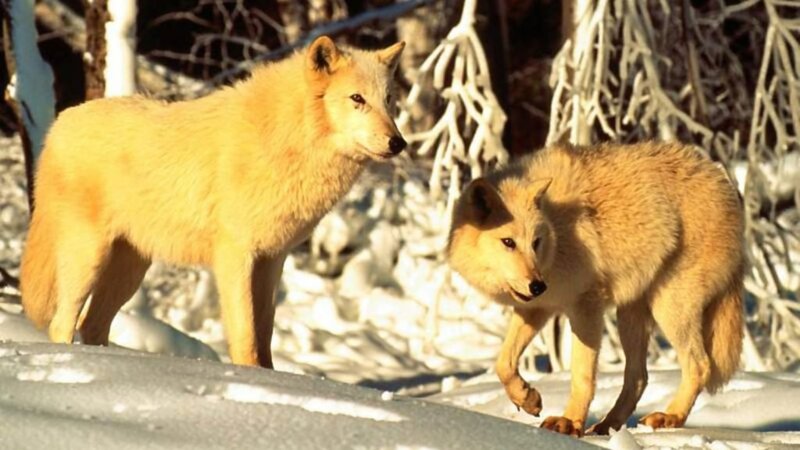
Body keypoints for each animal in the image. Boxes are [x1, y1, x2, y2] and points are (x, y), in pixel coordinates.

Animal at [21, 36, 406, 368]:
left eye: (389, 100)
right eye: (357, 98)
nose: (398, 143)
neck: (285, 138)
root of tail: (59, 124)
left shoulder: (272, 260)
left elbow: (265, 334)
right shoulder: (236, 256)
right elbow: (246, 337)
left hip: (129, 272)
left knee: (92, 325)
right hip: (88, 259)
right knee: (62, 323)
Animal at [448, 142, 744, 436]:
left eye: (535, 242)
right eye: (508, 242)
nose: (538, 285)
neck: (557, 231)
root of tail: (721, 178)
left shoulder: (585, 305)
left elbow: (582, 375)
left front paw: (569, 423)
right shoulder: (538, 308)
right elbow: (503, 363)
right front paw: (528, 398)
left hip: (669, 308)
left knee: (700, 365)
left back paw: (669, 417)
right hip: (630, 317)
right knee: (639, 377)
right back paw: (607, 426)